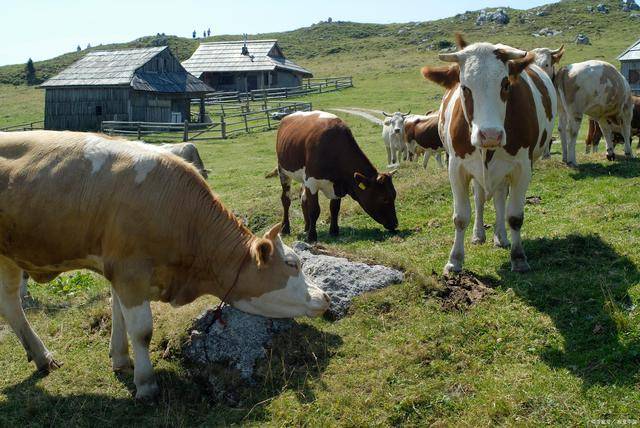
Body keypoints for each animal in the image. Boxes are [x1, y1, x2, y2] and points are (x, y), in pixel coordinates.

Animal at [0, 130, 330, 402]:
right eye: (292, 263)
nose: (325, 297)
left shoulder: (118, 271)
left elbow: (118, 314)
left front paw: (121, 359)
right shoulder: (130, 272)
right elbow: (141, 331)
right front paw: (146, 385)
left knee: (11, 305)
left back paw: (42, 357)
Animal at [276, 112, 398, 242]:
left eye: (394, 195)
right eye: (384, 198)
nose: (395, 223)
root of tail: (288, 116)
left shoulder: (337, 185)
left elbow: (334, 208)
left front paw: (334, 231)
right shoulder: (312, 182)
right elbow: (314, 209)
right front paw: (312, 236)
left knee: (303, 199)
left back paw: (307, 227)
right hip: (282, 170)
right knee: (286, 200)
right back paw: (285, 228)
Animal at [420, 35, 556, 272]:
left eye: (505, 84)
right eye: (465, 87)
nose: (490, 134)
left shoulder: (522, 168)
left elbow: (515, 216)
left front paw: (518, 257)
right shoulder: (456, 168)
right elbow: (461, 217)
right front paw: (454, 260)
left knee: (500, 197)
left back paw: (501, 237)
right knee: (480, 198)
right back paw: (479, 235)